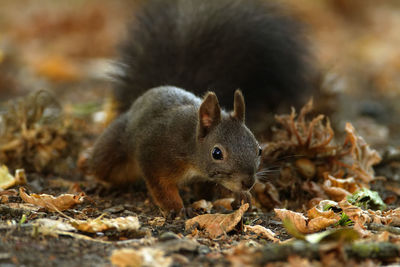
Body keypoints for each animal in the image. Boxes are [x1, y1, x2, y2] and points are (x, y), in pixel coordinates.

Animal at [89, 0, 314, 216]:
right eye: (217, 153)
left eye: (259, 149)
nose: (248, 183)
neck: (190, 146)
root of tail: (141, 98)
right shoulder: (154, 154)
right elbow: (162, 187)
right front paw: (176, 208)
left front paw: (243, 196)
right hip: (113, 150)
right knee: (102, 165)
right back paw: (100, 184)